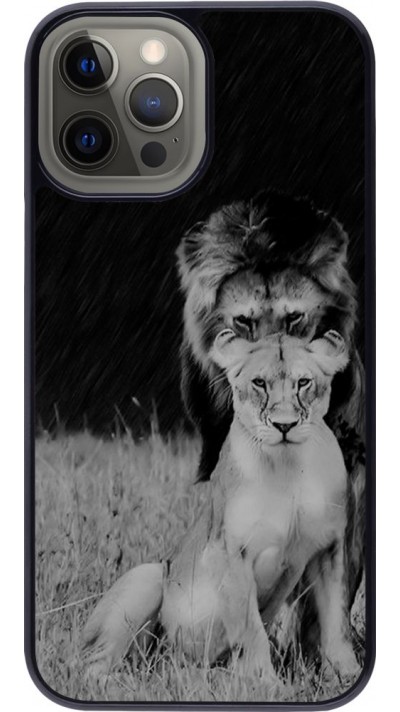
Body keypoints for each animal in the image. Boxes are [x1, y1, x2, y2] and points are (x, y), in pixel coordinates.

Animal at [82, 330, 360, 684]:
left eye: (303, 382)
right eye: (259, 383)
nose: (284, 425)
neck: (287, 465)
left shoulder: (329, 549)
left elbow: (337, 622)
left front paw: (347, 674)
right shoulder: (229, 551)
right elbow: (250, 627)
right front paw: (264, 682)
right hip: (147, 576)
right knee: (93, 664)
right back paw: (130, 682)